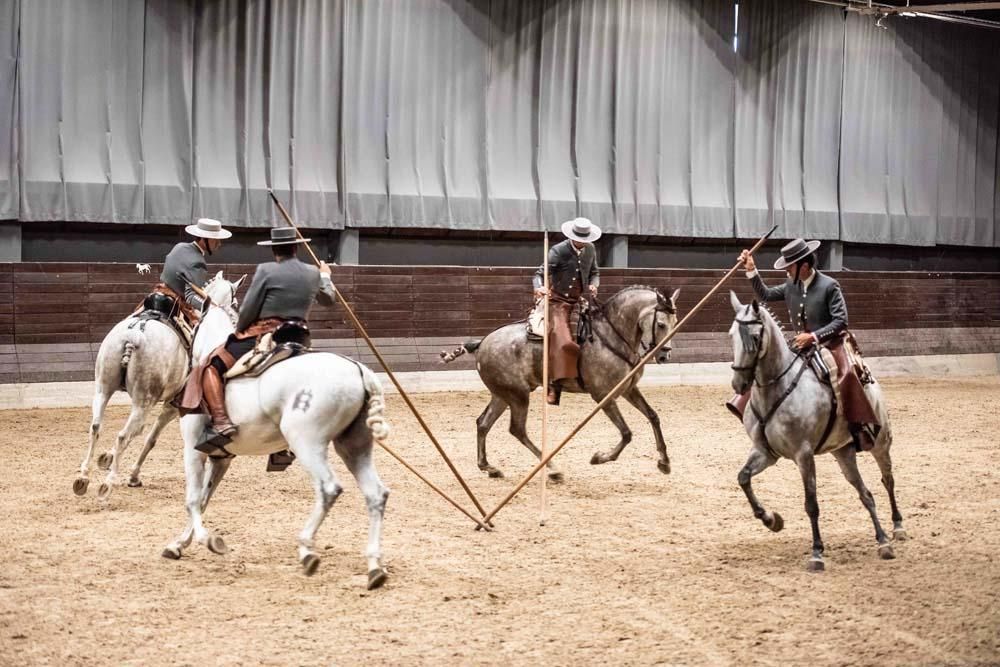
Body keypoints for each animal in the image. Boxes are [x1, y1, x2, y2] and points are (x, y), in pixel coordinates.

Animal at [162, 274, 392, 588]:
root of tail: (359, 370)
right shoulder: (221, 458)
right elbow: (205, 498)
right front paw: (179, 544)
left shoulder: (192, 450)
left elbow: (193, 499)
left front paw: (208, 541)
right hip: (354, 446)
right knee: (376, 494)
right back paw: (374, 567)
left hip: (308, 443)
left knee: (329, 488)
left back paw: (307, 549)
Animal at [440, 288, 680, 480]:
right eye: (660, 324)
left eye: (675, 323)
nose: (664, 355)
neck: (611, 337)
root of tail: (481, 343)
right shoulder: (604, 395)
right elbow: (626, 433)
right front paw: (600, 457)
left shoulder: (628, 389)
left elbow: (653, 416)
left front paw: (664, 462)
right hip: (518, 396)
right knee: (517, 429)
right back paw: (553, 468)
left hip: (502, 395)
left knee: (483, 423)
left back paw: (489, 468)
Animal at [728, 294, 908, 576]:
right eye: (731, 335)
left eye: (755, 338)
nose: (739, 384)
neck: (778, 387)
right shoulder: (765, 452)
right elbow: (743, 478)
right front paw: (771, 520)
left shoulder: (804, 455)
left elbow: (811, 504)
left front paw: (816, 553)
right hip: (843, 453)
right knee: (866, 494)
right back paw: (882, 541)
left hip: (880, 444)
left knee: (887, 480)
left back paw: (897, 527)